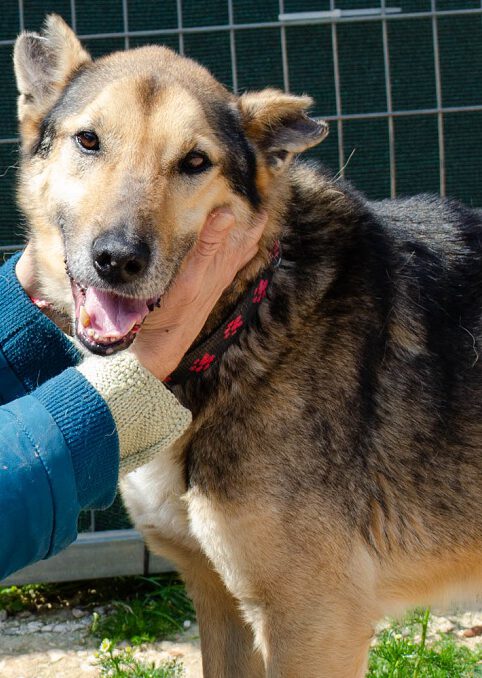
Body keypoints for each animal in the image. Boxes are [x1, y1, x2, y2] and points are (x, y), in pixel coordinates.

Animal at [14, 15, 482, 678]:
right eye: (88, 141)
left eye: (194, 161)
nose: (118, 259)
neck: (248, 321)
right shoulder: (219, 598)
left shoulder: (316, 622)